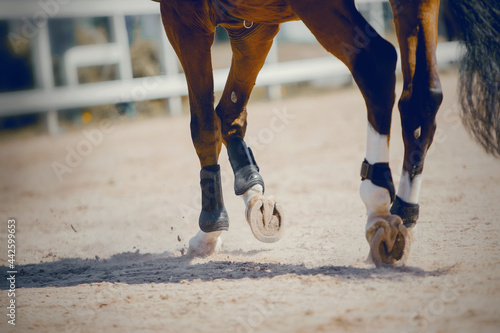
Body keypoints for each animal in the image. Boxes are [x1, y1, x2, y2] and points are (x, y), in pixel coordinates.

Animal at [154, 0, 498, 264]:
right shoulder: (253, 26)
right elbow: (229, 114)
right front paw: (254, 195)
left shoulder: (184, 17)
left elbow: (204, 126)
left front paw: (210, 228)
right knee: (423, 95)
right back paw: (402, 214)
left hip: (319, 8)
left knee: (375, 62)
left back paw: (376, 202)